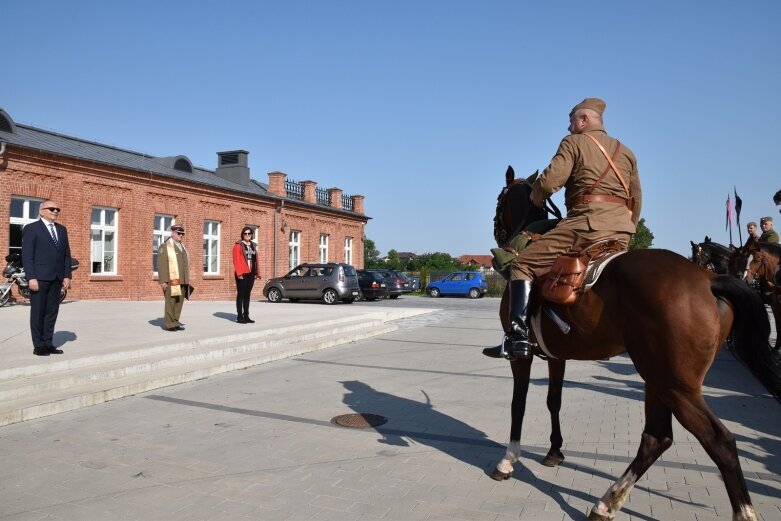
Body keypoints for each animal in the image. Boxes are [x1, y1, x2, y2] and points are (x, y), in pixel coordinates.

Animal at [490, 167, 772, 520]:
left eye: (500, 200)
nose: (496, 227)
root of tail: (709, 280)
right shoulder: (557, 356)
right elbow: (554, 400)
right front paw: (555, 450)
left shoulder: (521, 356)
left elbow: (519, 403)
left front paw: (508, 459)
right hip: (658, 380)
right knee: (657, 437)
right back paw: (608, 501)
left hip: (676, 386)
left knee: (719, 442)